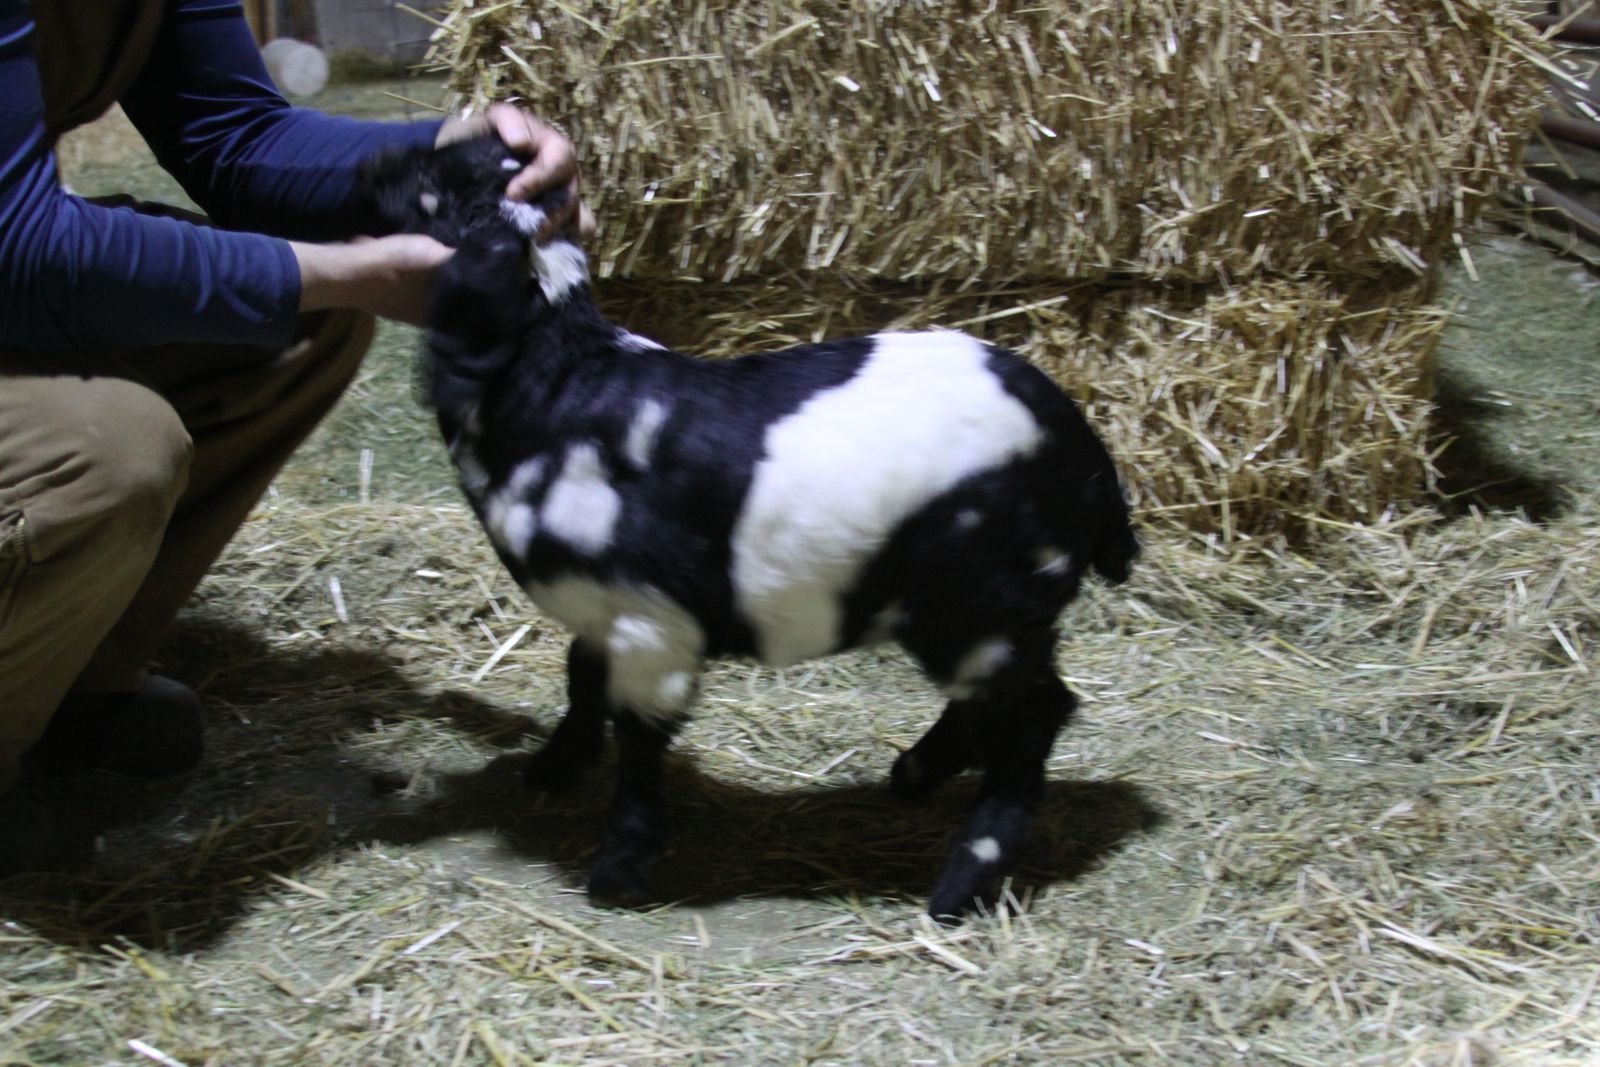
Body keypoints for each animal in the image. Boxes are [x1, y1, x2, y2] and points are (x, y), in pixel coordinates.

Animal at [360, 136, 1140, 919]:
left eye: (439, 185)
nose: (373, 168)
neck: (557, 387)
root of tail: (1089, 461)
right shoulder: (599, 612)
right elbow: (581, 680)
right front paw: (553, 768)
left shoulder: (652, 622)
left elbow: (639, 740)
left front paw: (618, 870)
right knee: (991, 707)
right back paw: (915, 775)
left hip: (979, 603)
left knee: (1034, 714)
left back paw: (959, 884)